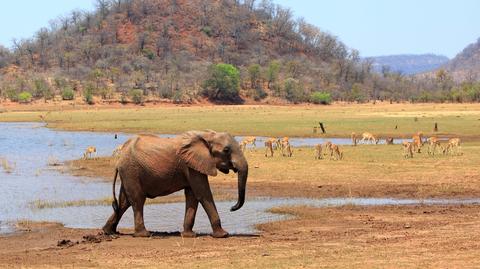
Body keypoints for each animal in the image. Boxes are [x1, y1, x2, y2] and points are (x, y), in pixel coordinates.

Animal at [103, 130, 249, 237]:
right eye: (226, 150)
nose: (231, 208)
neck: (207, 135)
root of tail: (119, 158)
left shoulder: (193, 165)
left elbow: (192, 196)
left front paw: (189, 235)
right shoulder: (191, 165)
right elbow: (203, 193)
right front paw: (223, 235)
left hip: (128, 172)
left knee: (124, 202)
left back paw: (109, 232)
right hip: (131, 170)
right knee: (137, 199)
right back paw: (144, 234)